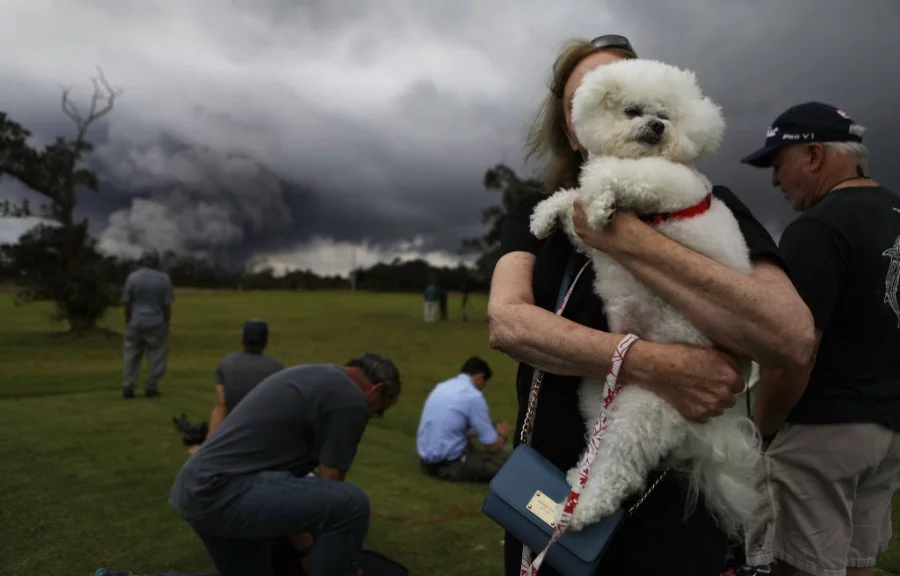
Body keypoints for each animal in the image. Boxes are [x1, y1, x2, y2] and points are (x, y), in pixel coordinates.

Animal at [532, 57, 764, 536]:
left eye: (666, 116)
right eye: (633, 111)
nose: (657, 127)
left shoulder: (667, 184)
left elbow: (610, 178)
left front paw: (599, 200)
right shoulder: (593, 240)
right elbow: (572, 203)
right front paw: (546, 215)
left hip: (645, 410)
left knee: (619, 469)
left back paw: (579, 509)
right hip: (599, 388)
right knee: (599, 444)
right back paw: (576, 478)